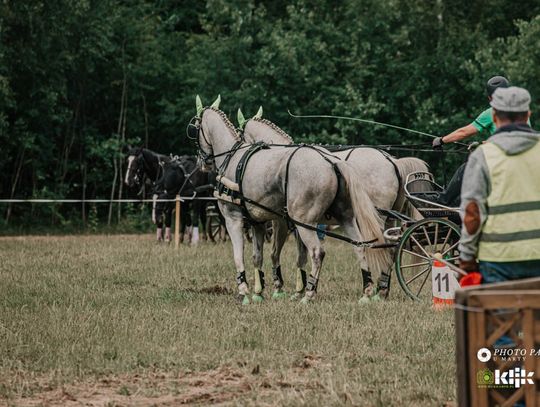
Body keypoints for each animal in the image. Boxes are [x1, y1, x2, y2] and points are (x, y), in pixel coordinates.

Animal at [192, 97, 390, 304]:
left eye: (195, 127)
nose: (202, 162)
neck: (233, 157)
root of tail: (332, 161)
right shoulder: (260, 223)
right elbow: (259, 256)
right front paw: (259, 292)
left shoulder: (235, 219)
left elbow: (240, 256)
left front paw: (245, 291)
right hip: (346, 218)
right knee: (360, 247)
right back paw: (367, 291)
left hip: (305, 222)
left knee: (317, 252)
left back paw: (310, 294)